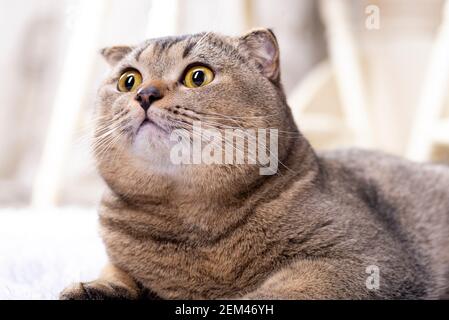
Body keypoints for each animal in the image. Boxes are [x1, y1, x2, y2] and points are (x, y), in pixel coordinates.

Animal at [59, 28, 448, 298]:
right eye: (129, 80)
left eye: (197, 76)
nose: (144, 94)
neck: (193, 220)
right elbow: (117, 271)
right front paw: (96, 288)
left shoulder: (364, 260)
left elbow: (286, 291)